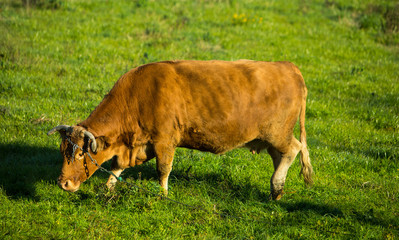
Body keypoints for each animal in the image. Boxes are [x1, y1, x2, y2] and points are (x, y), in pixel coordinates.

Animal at [48, 60, 314, 201]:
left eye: (80, 154)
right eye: (62, 151)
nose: (63, 184)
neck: (137, 96)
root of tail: (288, 66)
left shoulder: (164, 141)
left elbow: (163, 169)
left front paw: (163, 194)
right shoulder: (137, 145)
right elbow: (117, 166)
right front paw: (108, 187)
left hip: (277, 134)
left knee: (294, 149)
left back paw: (276, 184)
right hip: (271, 139)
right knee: (280, 157)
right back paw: (276, 192)